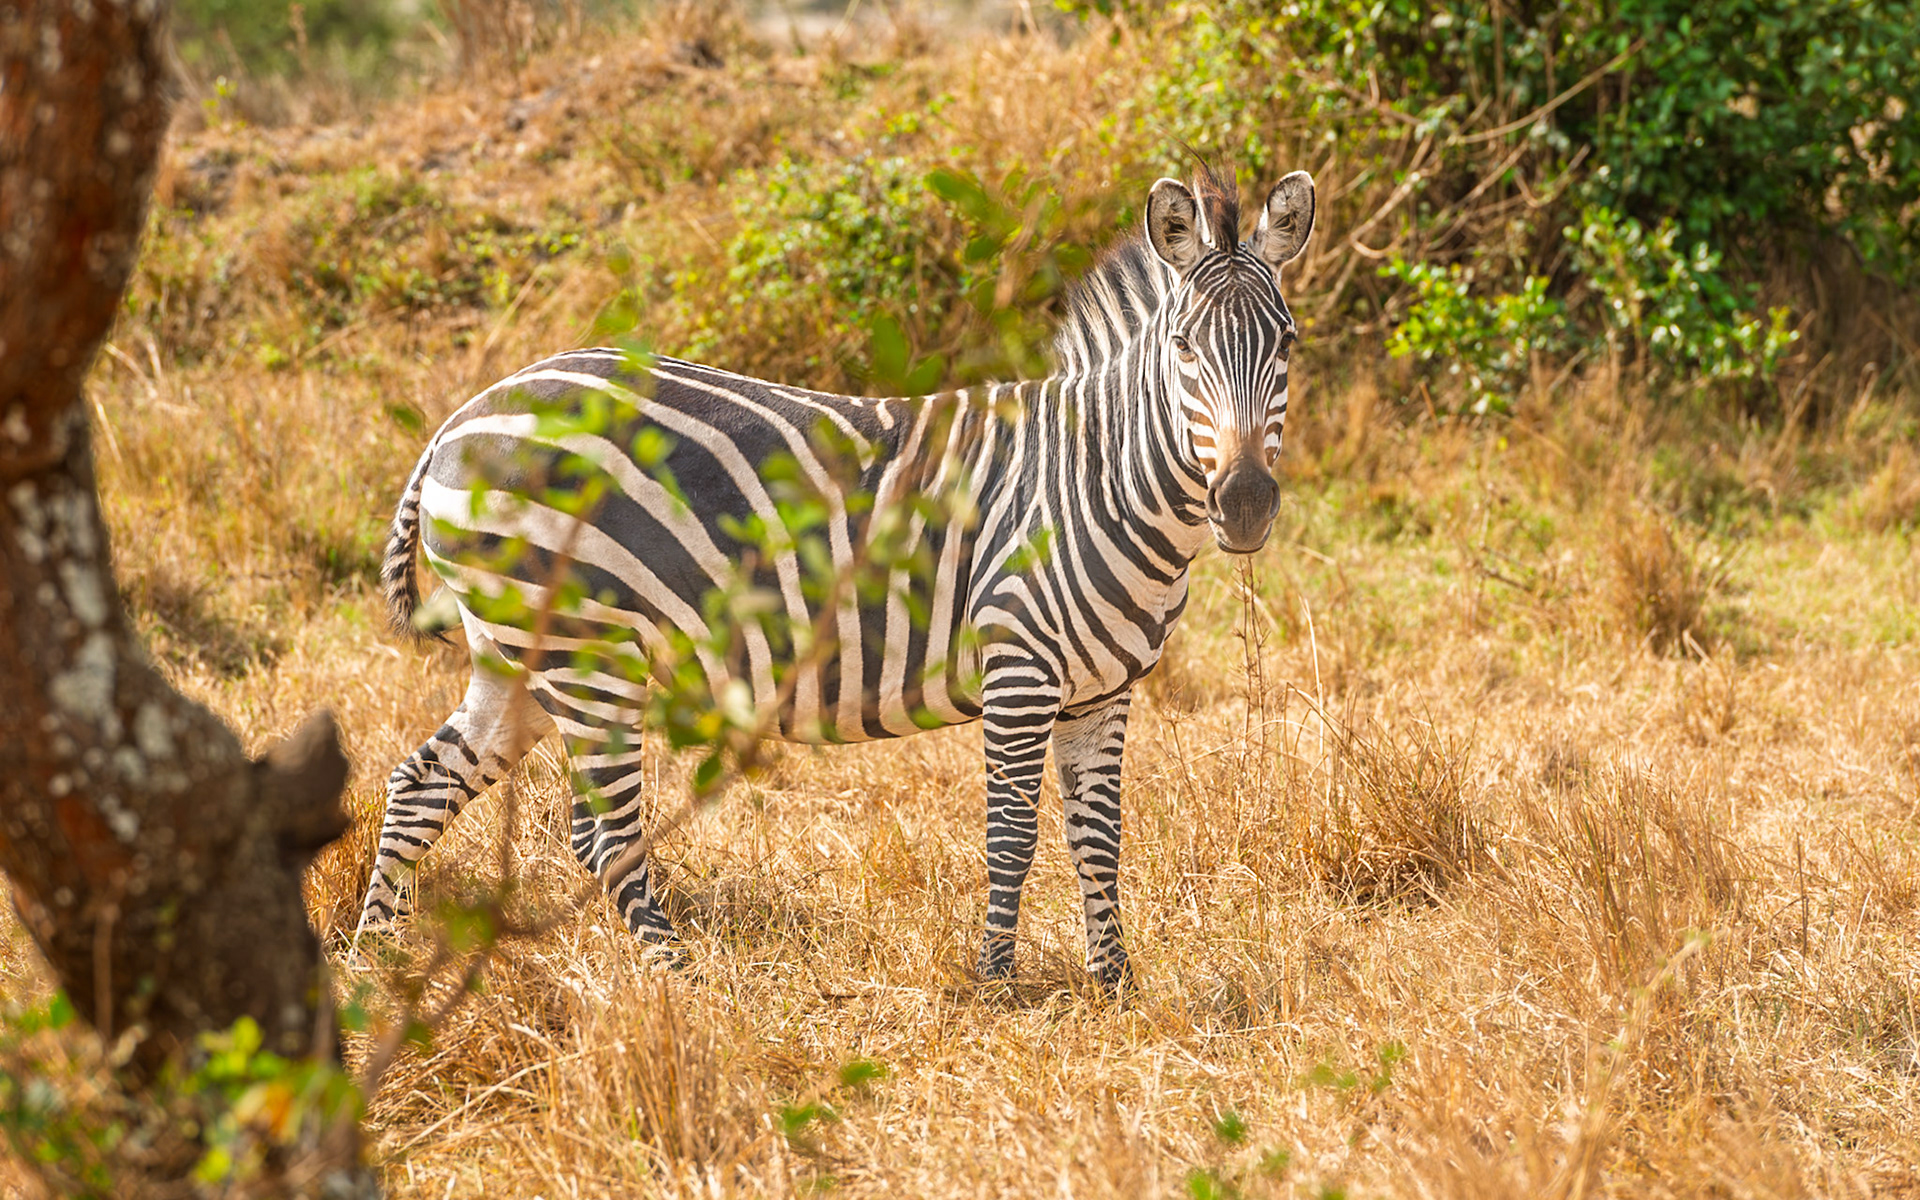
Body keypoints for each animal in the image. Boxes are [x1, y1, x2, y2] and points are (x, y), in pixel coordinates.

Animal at [353, 164, 1315, 990]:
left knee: (420, 783)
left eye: (1287, 344)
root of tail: (462, 417)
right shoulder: (1019, 669)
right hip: (589, 656)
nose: (1244, 503)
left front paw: (1114, 985)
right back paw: (679, 983)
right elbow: (1012, 835)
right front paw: (999, 985)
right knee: (604, 831)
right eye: (1184, 347)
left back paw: (373, 961)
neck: (1100, 475)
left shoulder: (1102, 691)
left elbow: (1100, 837)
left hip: (518, 652)